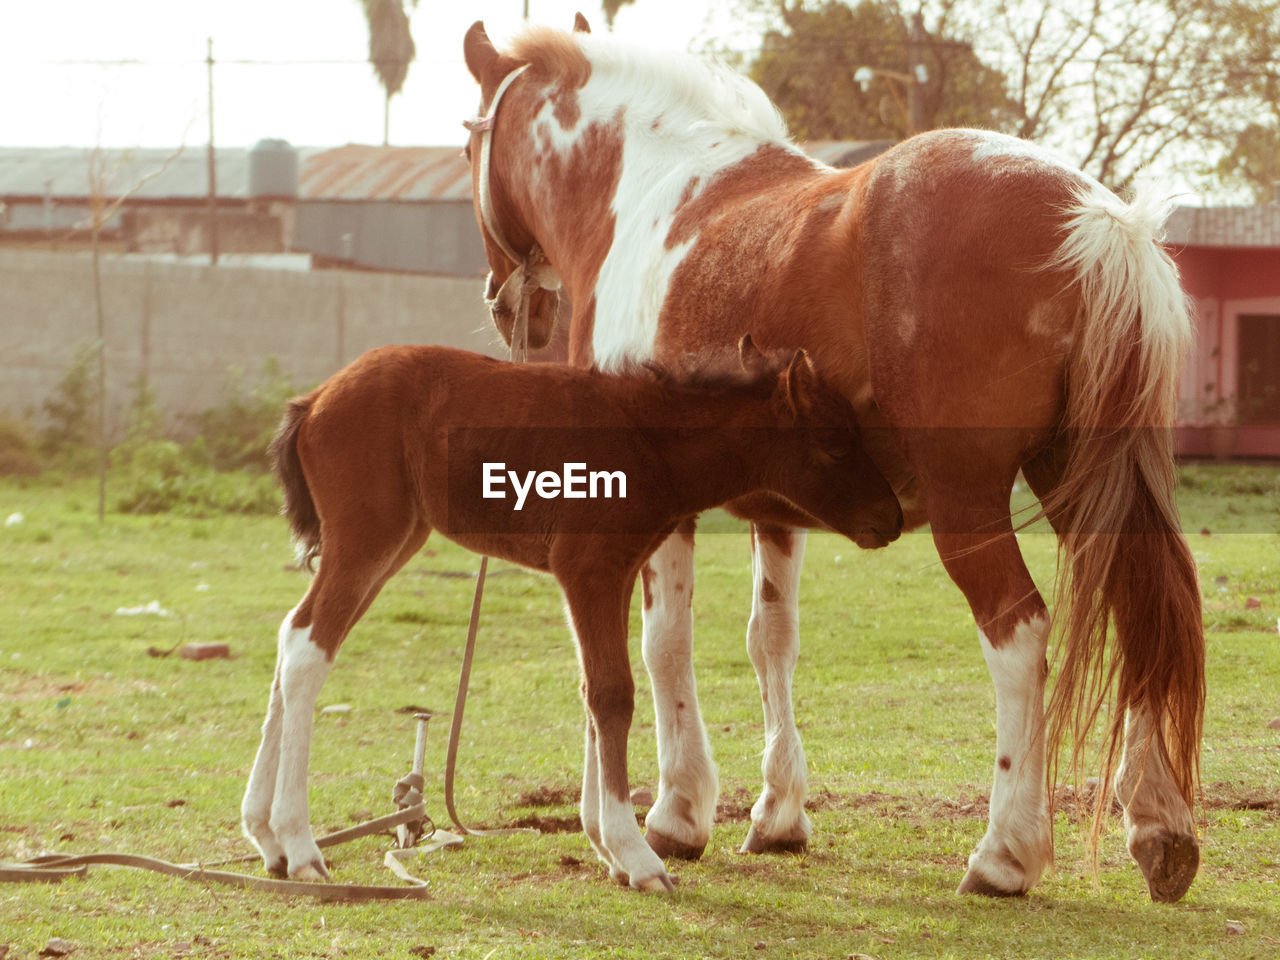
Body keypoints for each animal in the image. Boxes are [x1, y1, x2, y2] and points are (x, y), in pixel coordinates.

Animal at [240, 337, 901, 896]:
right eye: (836, 443)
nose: (891, 519)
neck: (650, 440)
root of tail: (313, 401)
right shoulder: (588, 567)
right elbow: (612, 693)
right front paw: (636, 856)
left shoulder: (612, 572)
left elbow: (592, 691)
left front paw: (607, 849)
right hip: (368, 535)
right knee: (309, 649)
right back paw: (300, 846)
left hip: (399, 537)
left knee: (292, 635)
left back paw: (267, 839)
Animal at [465, 18, 1203, 906]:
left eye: (469, 135)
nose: (509, 304)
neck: (653, 192)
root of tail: (1096, 218)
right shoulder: (782, 504)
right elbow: (770, 640)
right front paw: (778, 815)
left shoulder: (659, 505)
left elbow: (664, 644)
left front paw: (676, 816)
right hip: (1085, 482)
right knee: (1142, 612)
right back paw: (1161, 830)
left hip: (972, 502)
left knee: (1019, 633)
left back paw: (1004, 853)